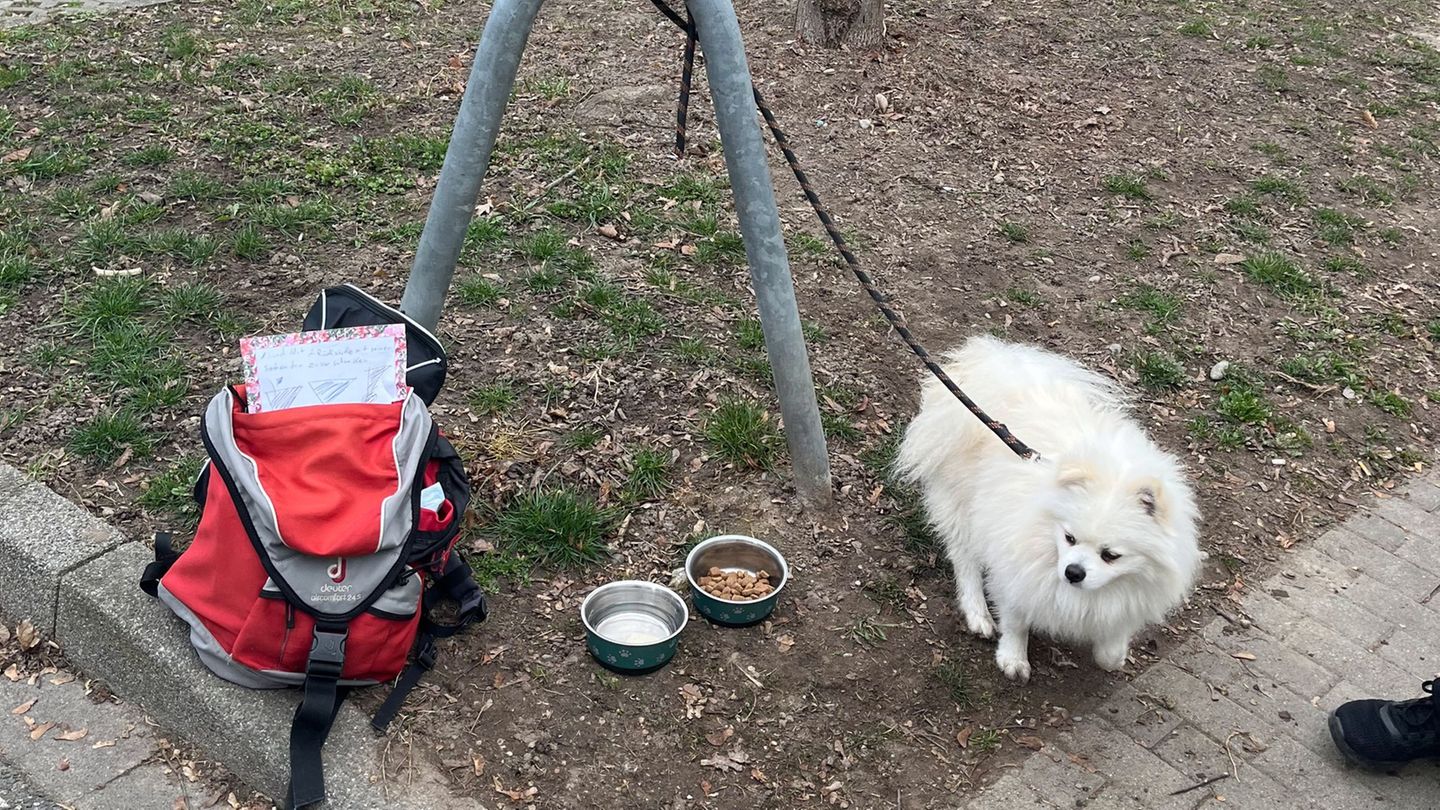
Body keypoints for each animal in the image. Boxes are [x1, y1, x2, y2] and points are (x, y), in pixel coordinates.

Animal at [892, 334, 1198, 680]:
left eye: (1110, 555)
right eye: (1069, 538)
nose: (1073, 572)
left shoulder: (1132, 595)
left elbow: (1113, 637)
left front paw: (1113, 654)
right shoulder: (1017, 569)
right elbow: (1016, 620)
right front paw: (1013, 658)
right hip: (964, 505)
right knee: (965, 559)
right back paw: (978, 614)